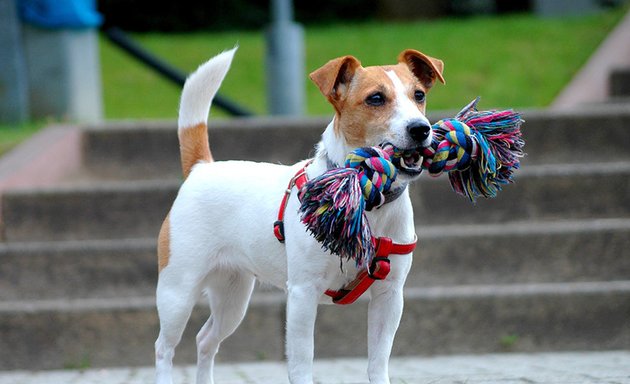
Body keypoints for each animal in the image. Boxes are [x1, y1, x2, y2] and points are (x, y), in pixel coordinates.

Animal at [156, 46, 446, 382]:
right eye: (376, 98)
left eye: (419, 95)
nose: (421, 128)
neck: (364, 195)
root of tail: (202, 167)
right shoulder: (302, 295)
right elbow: (301, 362)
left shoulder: (389, 296)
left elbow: (378, 361)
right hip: (178, 291)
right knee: (165, 347)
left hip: (232, 295)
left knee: (206, 340)